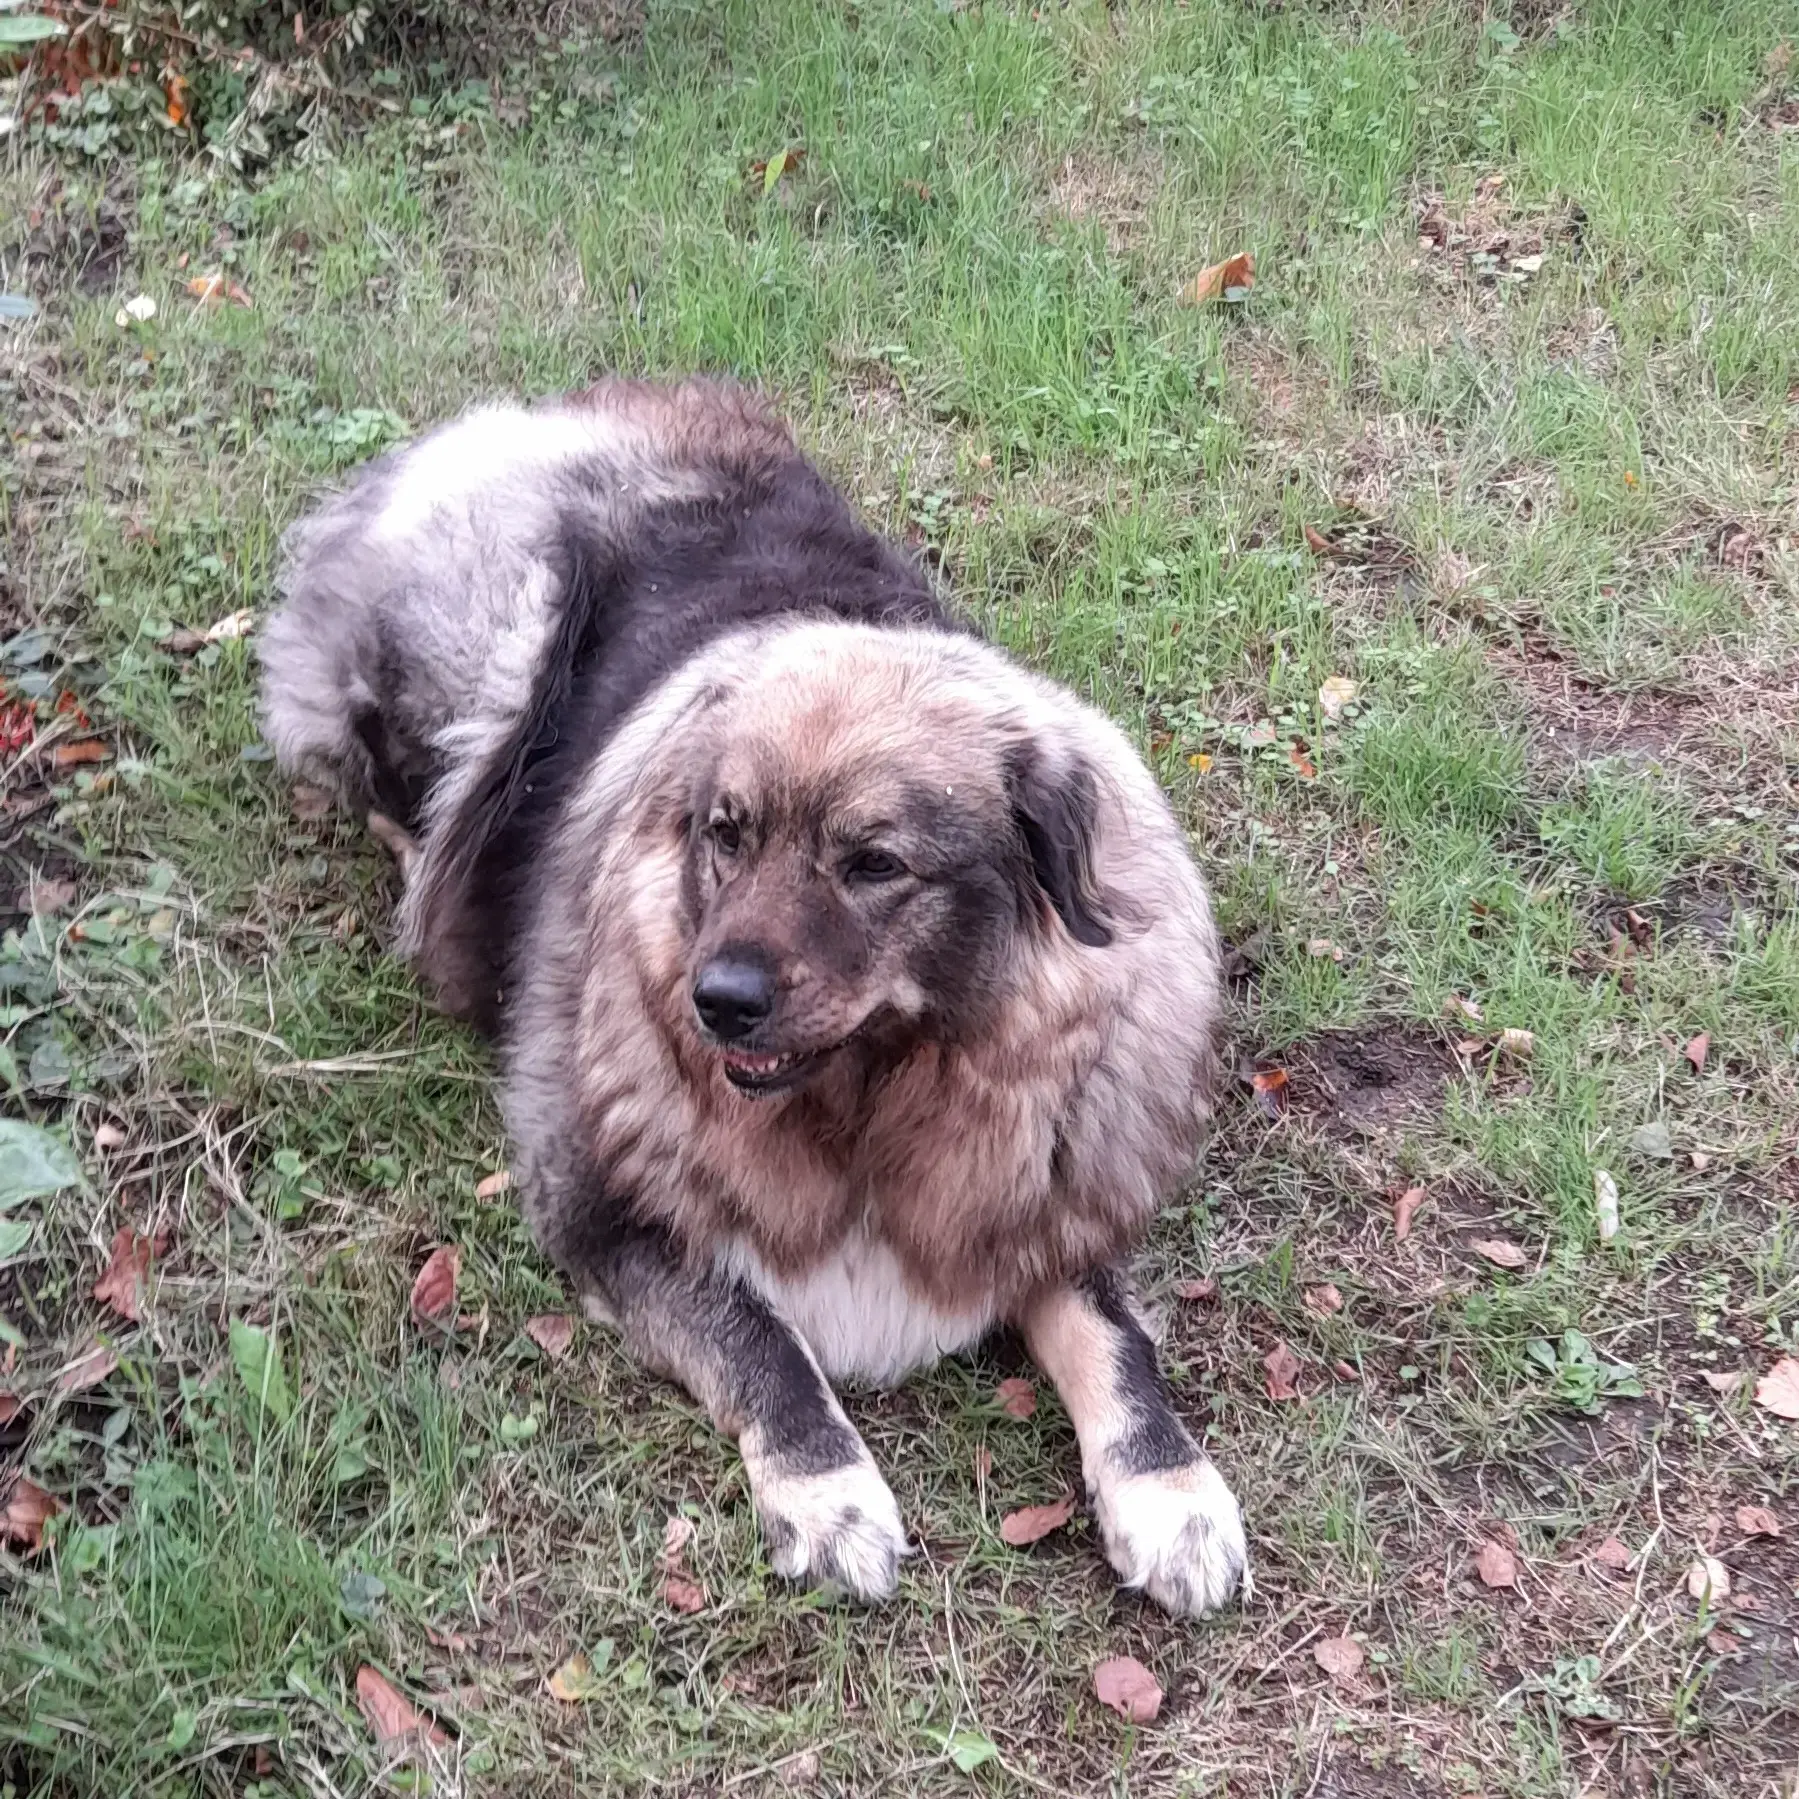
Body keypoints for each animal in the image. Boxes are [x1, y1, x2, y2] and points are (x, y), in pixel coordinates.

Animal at [260, 379, 1244, 1619]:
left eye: (873, 863)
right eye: (724, 835)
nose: (714, 998)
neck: (876, 1100)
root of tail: (510, 417)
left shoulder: (1047, 1194)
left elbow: (1113, 1336)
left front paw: (1170, 1491)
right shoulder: (606, 1206)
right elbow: (759, 1337)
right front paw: (829, 1493)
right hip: (502, 657)